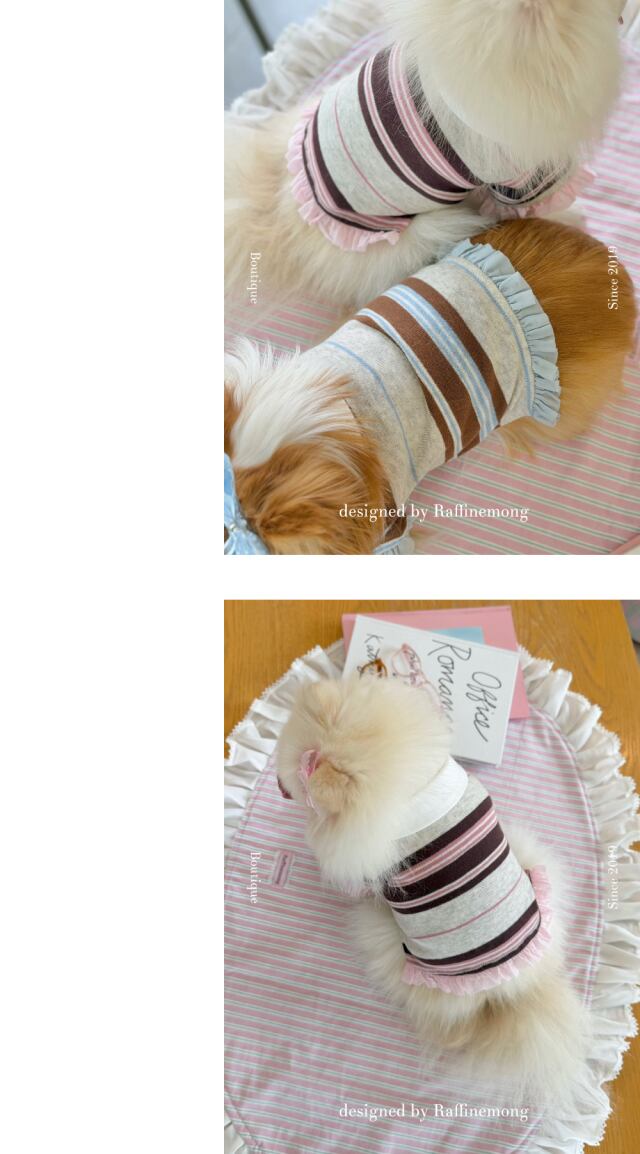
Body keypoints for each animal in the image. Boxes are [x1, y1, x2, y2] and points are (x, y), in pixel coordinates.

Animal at [275, 673, 591, 1105]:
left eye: (295, 786)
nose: (278, 787)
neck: (418, 789)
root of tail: (509, 994)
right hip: (536, 868)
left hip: (386, 941)